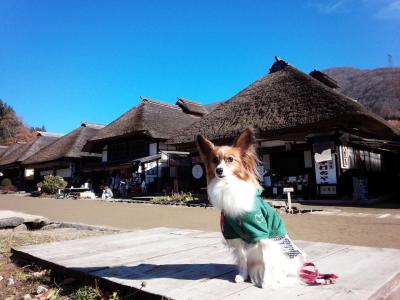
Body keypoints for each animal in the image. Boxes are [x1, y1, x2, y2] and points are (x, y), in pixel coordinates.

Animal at [195, 127, 304, 288]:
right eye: (215, 160)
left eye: (230, 159)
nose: (219, 170)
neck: (228, 186)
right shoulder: (234, 235)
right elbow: (242, 259)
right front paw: (242, 276)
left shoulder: (261, 233)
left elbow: (267, 261)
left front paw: (265, 282)